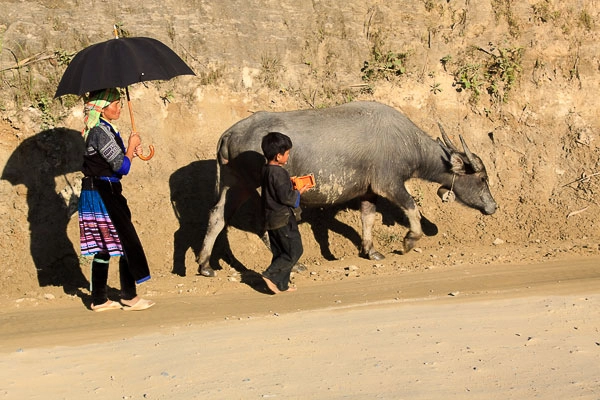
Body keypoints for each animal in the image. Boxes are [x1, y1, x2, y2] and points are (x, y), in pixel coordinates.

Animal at [197, 100, 496, 276]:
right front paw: (410, 240)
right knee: (263, 223)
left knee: (216, 216)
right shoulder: (388, 184)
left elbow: (367, 218)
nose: (493, 206)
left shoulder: (368, 191)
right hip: (258, 187)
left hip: (234, 183)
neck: (406, 141)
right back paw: (294, 264)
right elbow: (412, 207)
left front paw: (371, 251)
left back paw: (204, 264)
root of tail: (230, 134)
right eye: (482, 178)